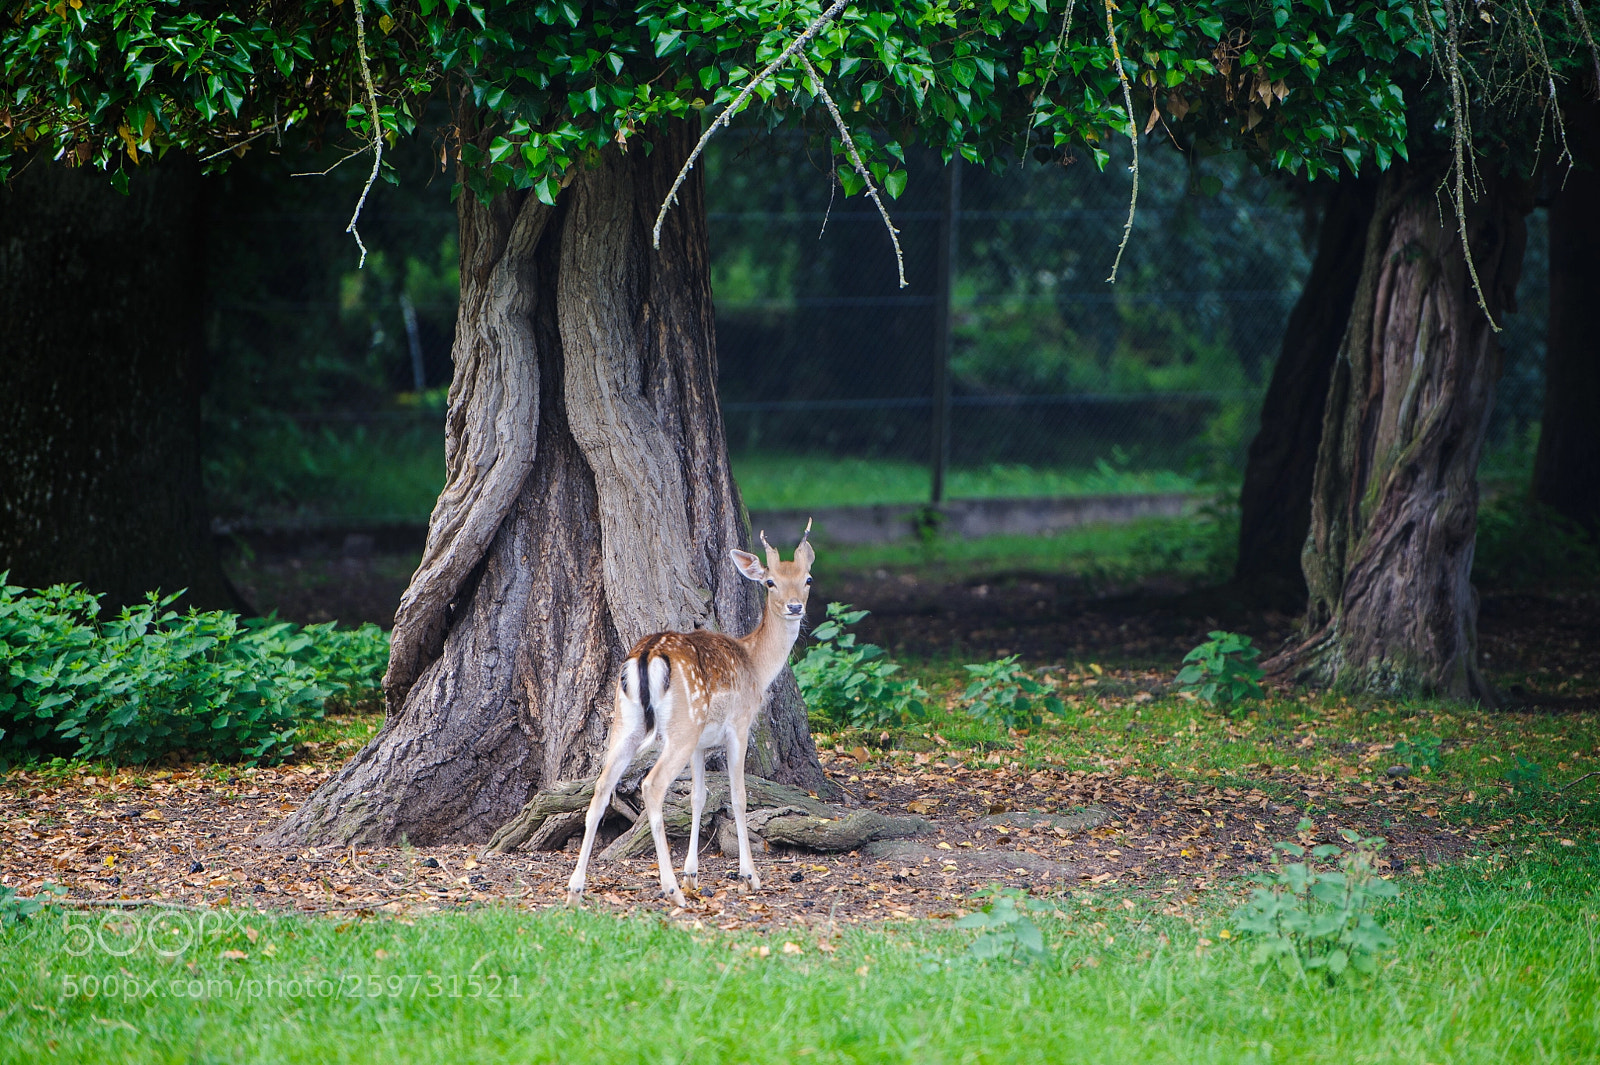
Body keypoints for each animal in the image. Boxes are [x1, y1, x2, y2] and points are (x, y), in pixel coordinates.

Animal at [565, 523, 815, 908]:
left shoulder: (702, 743)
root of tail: (647, 656)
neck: (755, 665)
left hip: (627, 722)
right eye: (771, 582)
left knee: (602, 786)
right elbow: (737, 796)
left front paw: (693, 875)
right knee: (652, 785)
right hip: (681, 726)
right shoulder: (739, 725)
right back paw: (670, 891)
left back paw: (575, 890)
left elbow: (699, 797)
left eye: (807, 579)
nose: (795, 606)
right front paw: (749, 877)